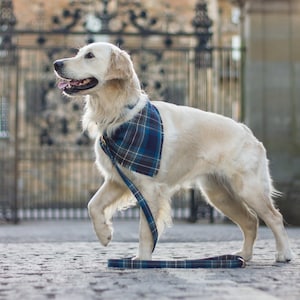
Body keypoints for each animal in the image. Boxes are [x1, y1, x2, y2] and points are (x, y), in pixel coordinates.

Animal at [54, 41, 292, 262]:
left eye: (90, 56)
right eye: (79, 53)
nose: (57, 64)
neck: (120, 115)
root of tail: (247, 131)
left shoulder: (148, 189)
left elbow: (146, 230)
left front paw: (142, 260)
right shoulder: (117, 179)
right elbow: (92, 205)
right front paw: (104, 234)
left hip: (248, 188)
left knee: (274, 217)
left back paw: (284, 253)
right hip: (219, 194)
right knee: (251, 221)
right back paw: (244, 255)